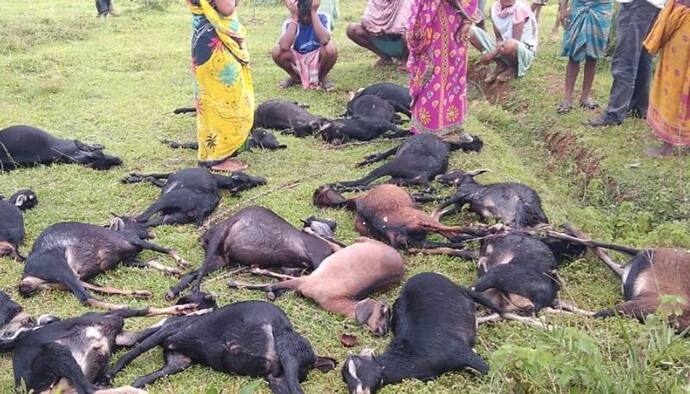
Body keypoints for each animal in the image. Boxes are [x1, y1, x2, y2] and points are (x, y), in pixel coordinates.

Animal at [122, 167, 264, 228]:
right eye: (249, 182)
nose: (263, 180)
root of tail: (201, 208)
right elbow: (153, 178)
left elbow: (153, 175)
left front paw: (132, 178)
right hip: (169, 218)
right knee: (145, 223)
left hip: (167, 200)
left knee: (142, 218)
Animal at [228, 237, 406, 336]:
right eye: (384, 311)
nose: (383, 331)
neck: (336, 299)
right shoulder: (309, 282)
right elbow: (271, 284)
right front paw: (235, 282)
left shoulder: (306, 282)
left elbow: (279, 281)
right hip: (366, 241)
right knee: (340, 244)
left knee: (338, 246)